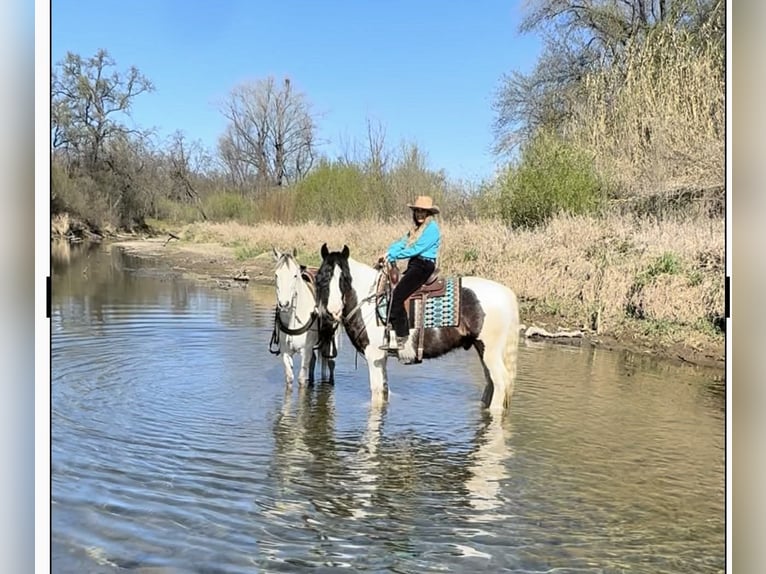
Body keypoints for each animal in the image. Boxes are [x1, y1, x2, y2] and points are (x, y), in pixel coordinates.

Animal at [270, 247, 337, 386]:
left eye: (295, 275)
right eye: (276, 275)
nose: (284, 304)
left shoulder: (305, 350)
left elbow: (301, 379)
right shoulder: (286, 352)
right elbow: (289, 377)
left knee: (331, 362)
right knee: (313, 362)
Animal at [314, 244, 520, 412]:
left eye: (345, 278)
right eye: (321, 277)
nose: (333, 311)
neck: (369, 300)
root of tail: (507, 293)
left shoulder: (374, 356)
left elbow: (377, 393)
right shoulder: (382, 358)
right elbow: (385, 392)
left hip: (490, 350)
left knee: (500, 382)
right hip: (481, 347)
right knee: (490, 382)